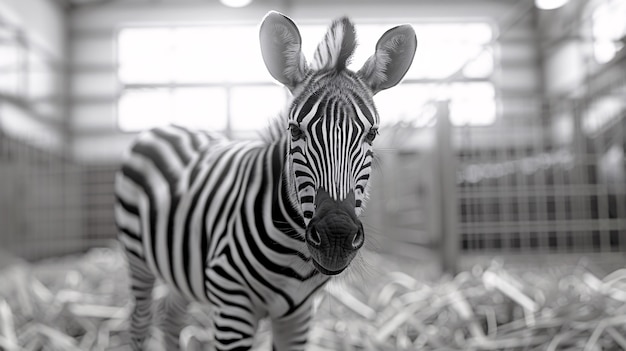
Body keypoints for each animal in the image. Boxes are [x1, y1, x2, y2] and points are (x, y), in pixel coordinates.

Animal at [115, 11, 416, 351]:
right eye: (295, 130)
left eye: (372, 134)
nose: (336, 237)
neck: (294, 255)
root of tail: (169, 126)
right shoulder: (232, 307)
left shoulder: (299, 316)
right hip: (137, 258)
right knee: (140, 319)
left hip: (181, 267)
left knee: (170, 317)